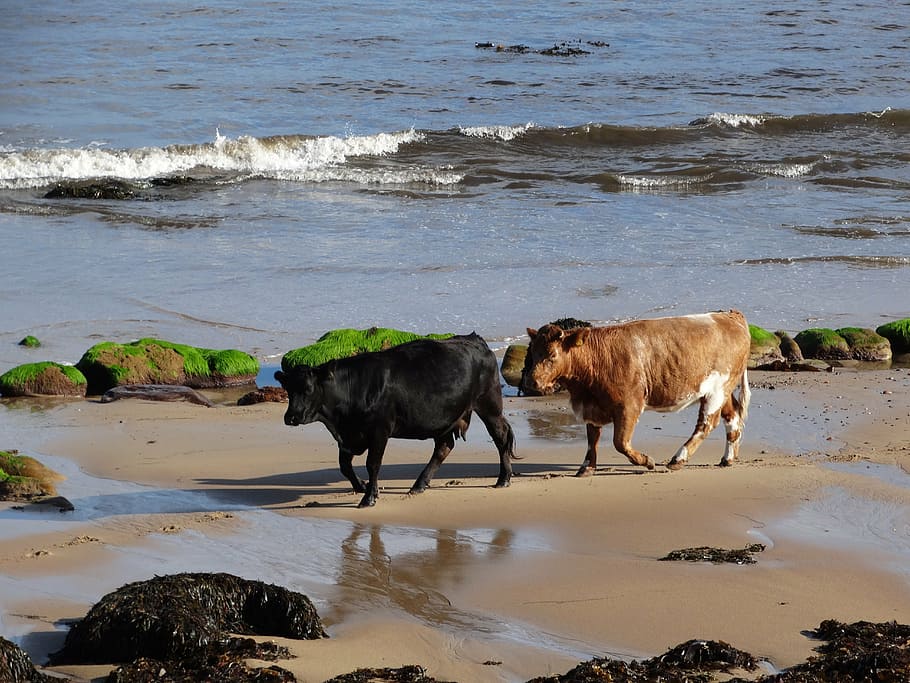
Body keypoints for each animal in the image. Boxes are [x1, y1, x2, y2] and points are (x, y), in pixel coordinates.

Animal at [274, 333, 516, 508]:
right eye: (288, 390)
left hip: (489, 404)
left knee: (500, 436)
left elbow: (373, 464)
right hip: (446, 417)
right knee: (444, 446)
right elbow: (344, 465)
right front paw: (361, 486)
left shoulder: (379, 430)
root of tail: (475, 339)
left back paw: (503, 479)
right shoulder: (349, 437)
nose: (291, 417)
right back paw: (419, 485)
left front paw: (368, 497)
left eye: (308, 389)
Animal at [520, 310, 751, 475]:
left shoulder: (629, 405)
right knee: (732, 417)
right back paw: (727, 459)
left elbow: (620, 442)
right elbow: (592, 438)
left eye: (552, 354)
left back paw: (678, 459)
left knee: (706, 424)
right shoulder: (592, 406)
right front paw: (586, 467)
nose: (531, 382)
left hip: (716, 391)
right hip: (722, 390)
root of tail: (729, 315)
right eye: (533, 352)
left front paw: (647, 461)